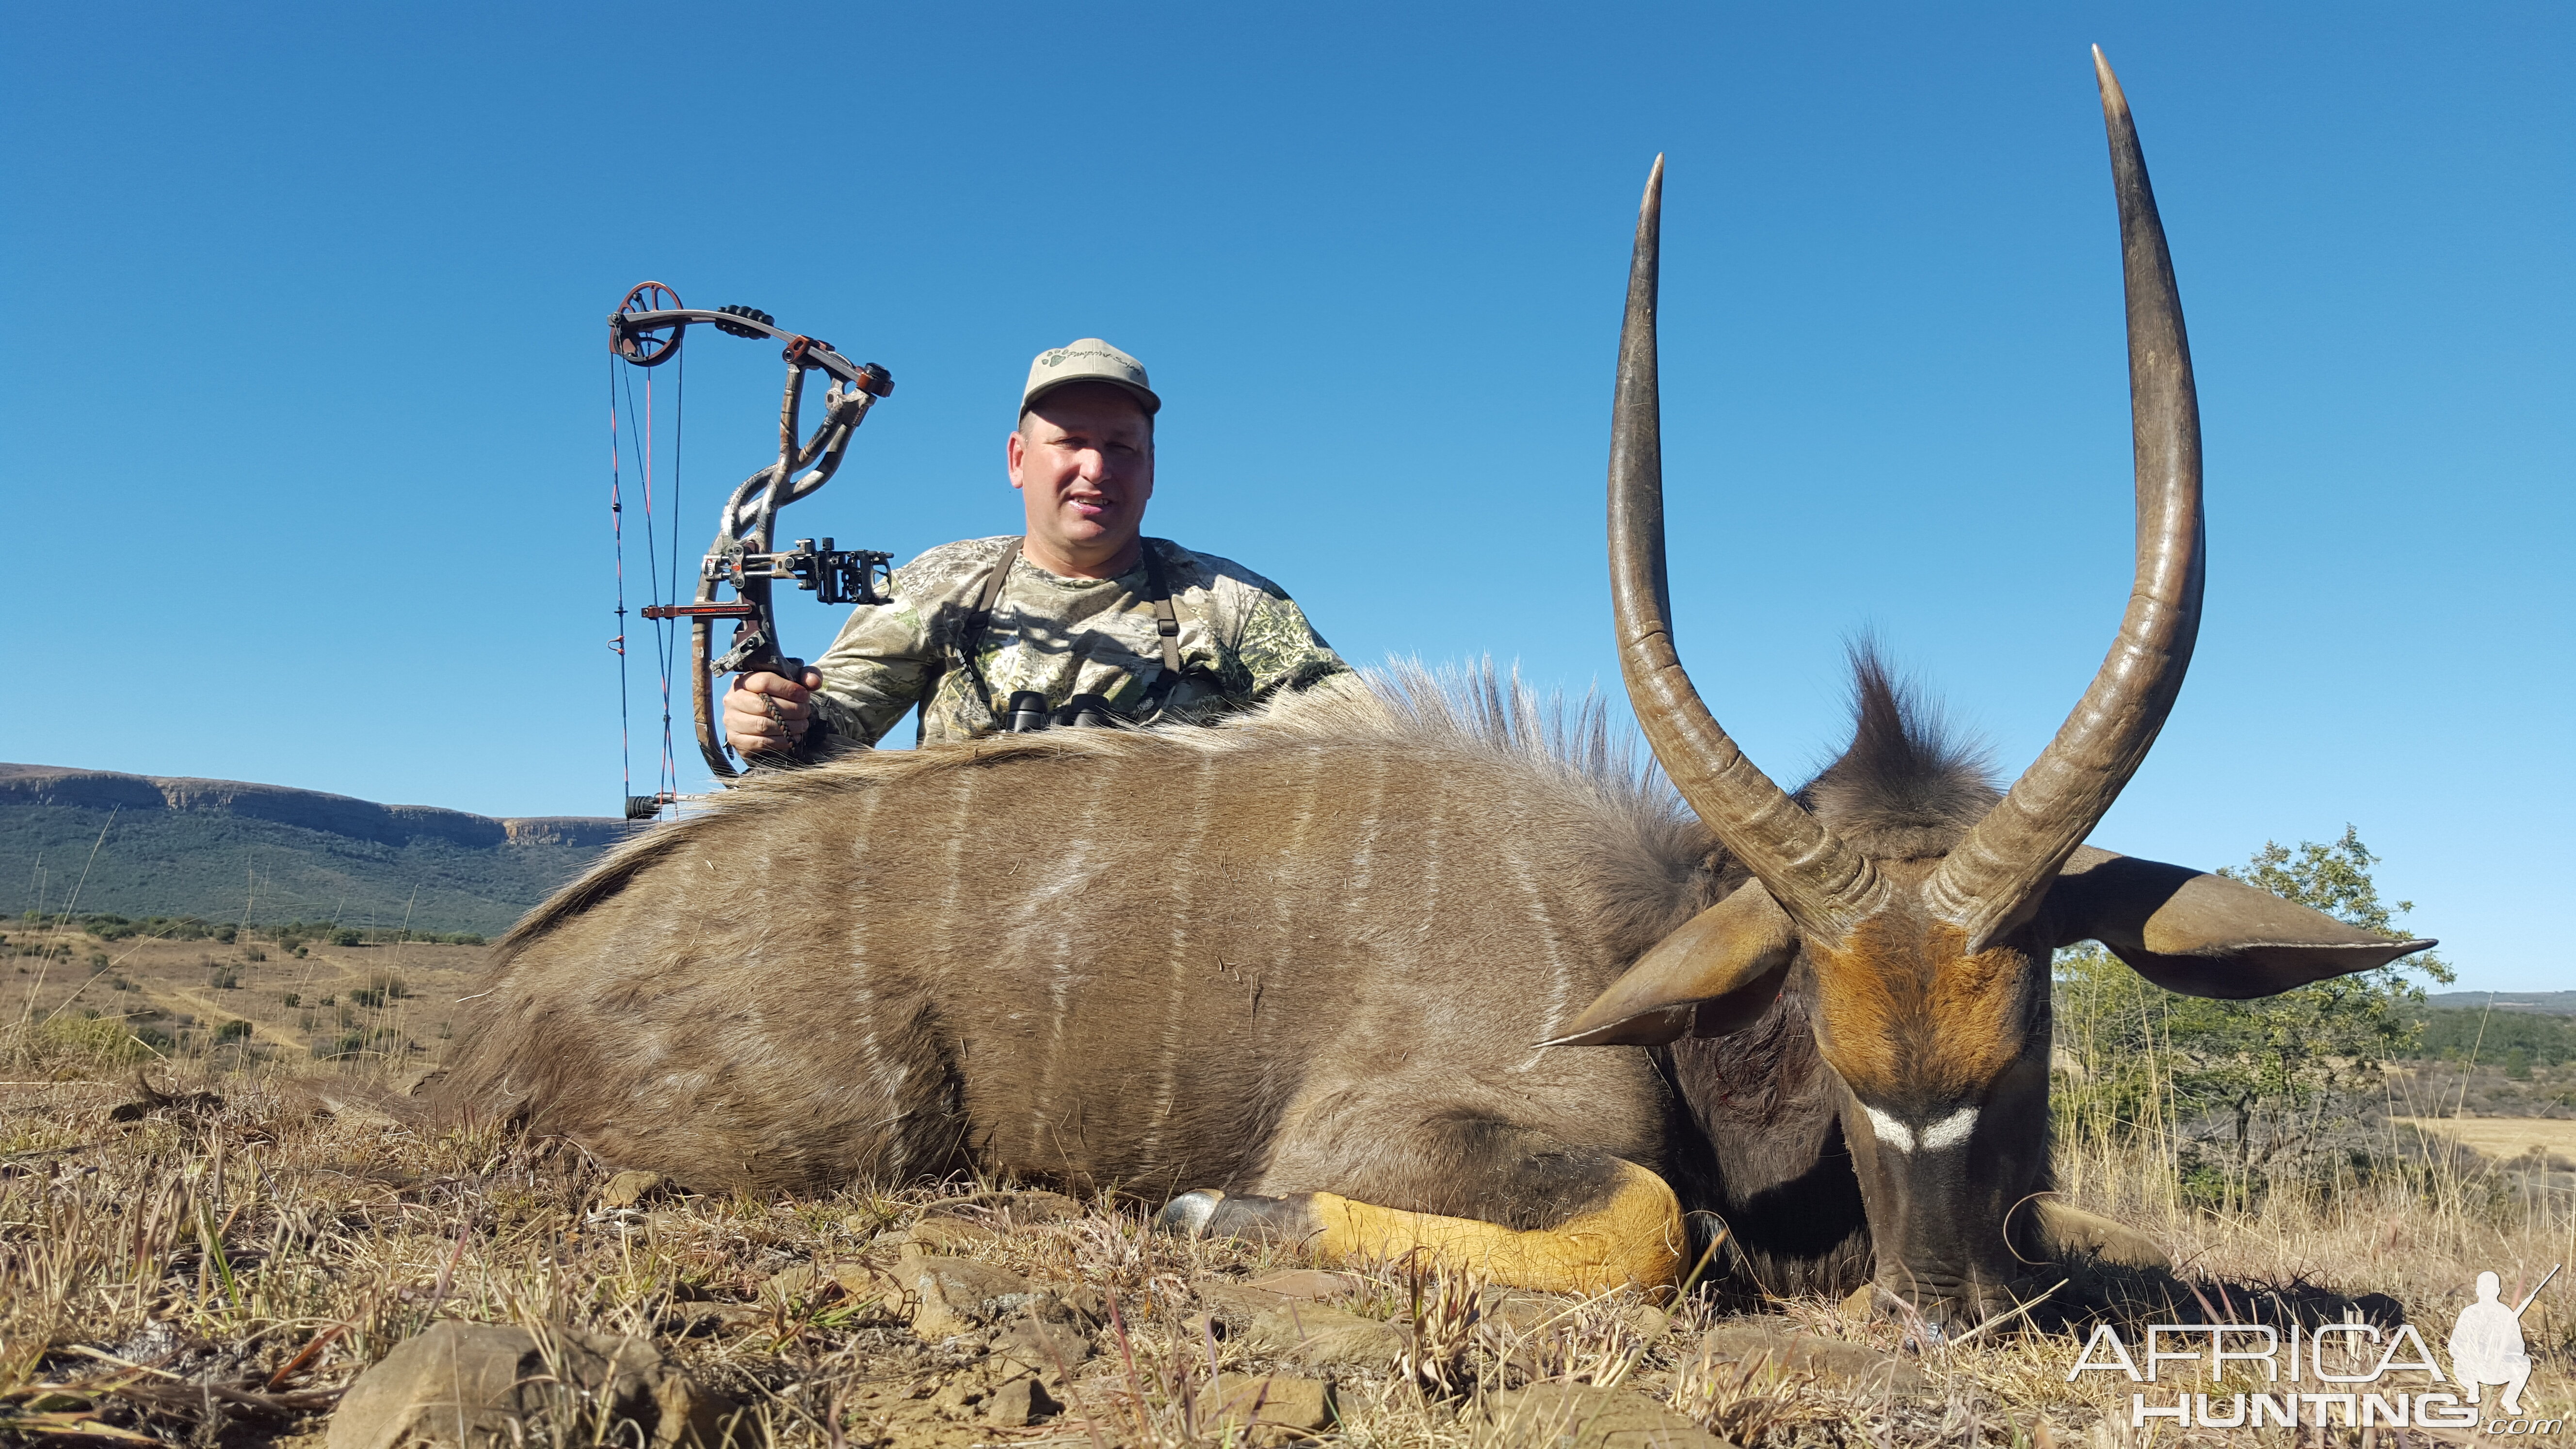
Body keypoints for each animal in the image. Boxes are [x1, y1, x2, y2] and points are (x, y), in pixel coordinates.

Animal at [443, 53, 2431, 1320]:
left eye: (2024, 1031)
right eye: (1824, 1012)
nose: (1944, 1299)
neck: (1641, 935)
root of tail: (503, 1005)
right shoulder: (1421, 1127)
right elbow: (1647, 1227)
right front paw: (1204, 1206)